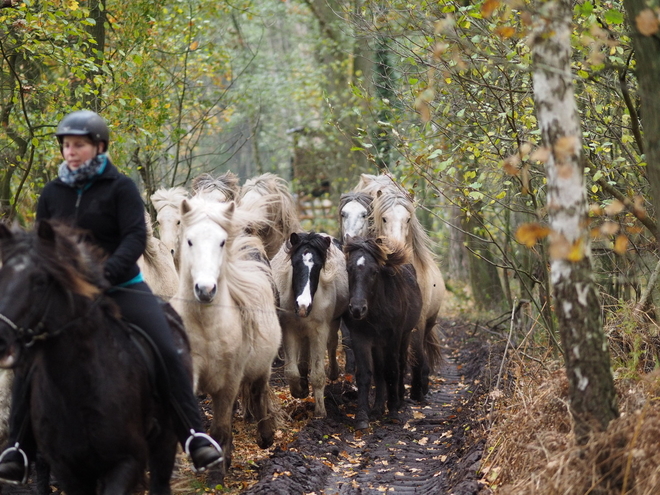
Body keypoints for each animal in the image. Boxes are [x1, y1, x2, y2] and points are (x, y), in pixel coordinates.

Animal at [170, 197, 282, 476]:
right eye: (189, 240)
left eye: (222, 242)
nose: (205, 289)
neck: (207, 328)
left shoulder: (229, 381)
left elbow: (220, 429)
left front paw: (217, 475)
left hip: (260, 369)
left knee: (258, 394)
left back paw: (265, 437)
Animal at [270, 232, 348, 418]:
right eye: (295, 263)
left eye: (319, 266)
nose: (303, 305)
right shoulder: (289, 329)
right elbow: (291, 372)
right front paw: (299, 391)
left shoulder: (319, 331)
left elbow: (318, 375)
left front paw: (320, 413)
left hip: (333, 322)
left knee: (332, 344)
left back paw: (333, 373)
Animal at [340, 237, 422, 430]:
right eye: (348, 269)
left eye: (374, 271)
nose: (357, 309)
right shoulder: (361, 338)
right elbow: (365, 374)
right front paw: (362, 416)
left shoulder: (393, 337)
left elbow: (391, 371)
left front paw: (393, 412)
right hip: (377, 344)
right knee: (378, 371)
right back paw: (377, 408)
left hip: (404, 337)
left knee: (400, 365)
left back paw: (399, 401)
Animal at [368, 192, 446, 402]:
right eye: (384, 218)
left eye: (408, 219)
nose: (396, 249)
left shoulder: (418, 321)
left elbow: (417, 354)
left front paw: (417, 391)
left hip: (428, 322)